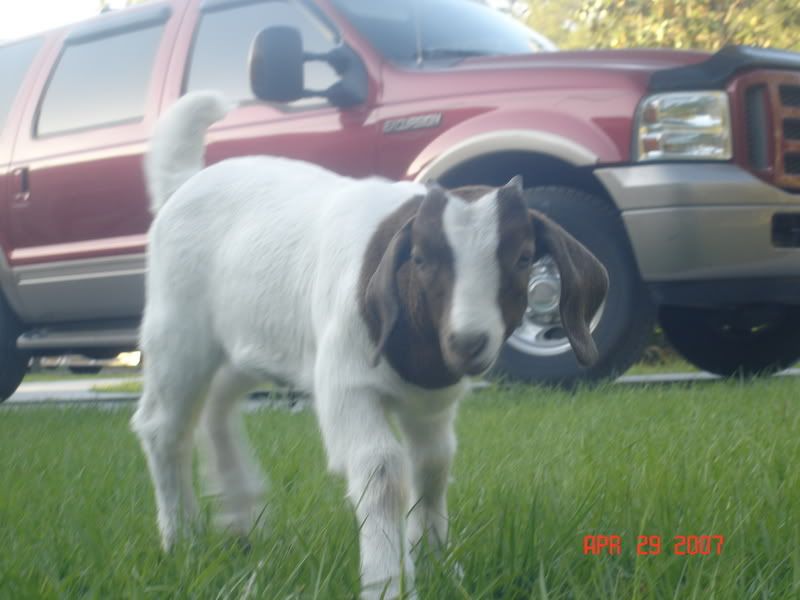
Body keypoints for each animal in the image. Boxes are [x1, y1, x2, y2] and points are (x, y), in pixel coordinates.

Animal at [131, 91, 608, 599]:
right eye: (420, 258)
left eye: (523, 258)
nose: (467, 342)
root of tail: (182, 183)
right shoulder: (345, 385)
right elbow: (381, 471)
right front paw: (387, 582)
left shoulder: (431, 403)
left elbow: (434, 463)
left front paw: (436, 562)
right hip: (178, 326)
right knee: (164, 425)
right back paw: (182, 539)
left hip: (247, 342)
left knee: (217, 405)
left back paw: (240, 519)